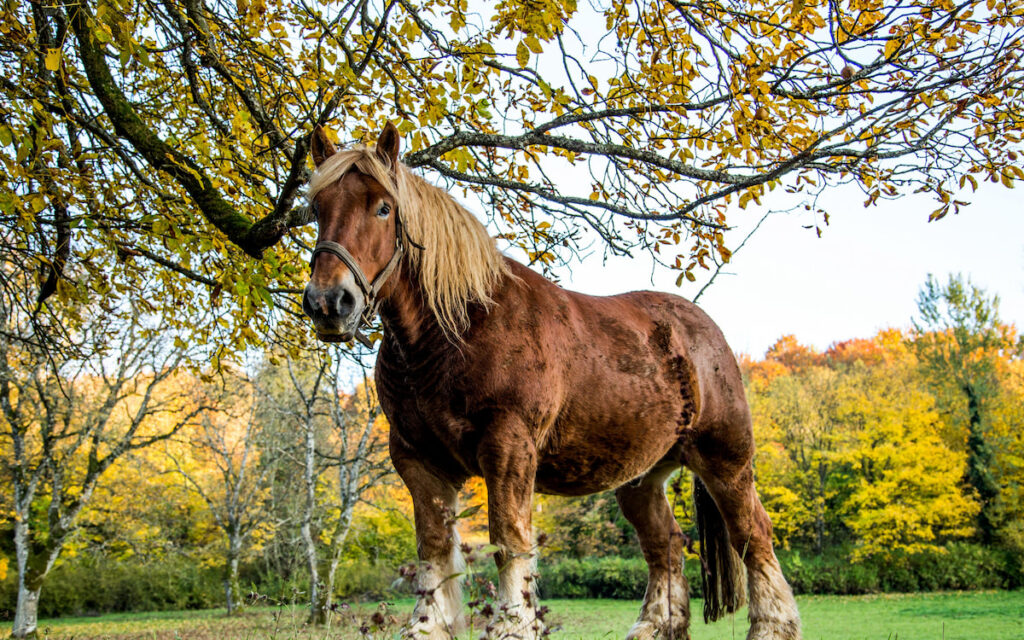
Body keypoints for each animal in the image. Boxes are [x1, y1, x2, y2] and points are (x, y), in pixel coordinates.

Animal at [299, 123, 802, 638]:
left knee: (753, 536)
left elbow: (509, 541)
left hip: (726, 462)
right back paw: (654, 626)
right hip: (642, 479)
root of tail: (706, 331)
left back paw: (771, 626)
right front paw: (428, 625)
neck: (457, 331)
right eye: (317, 208)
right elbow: (435, 550)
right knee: (665, 544)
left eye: (383, 207)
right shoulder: (418, 459)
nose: (328, 302)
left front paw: (511, 623)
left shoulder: (508, 447)